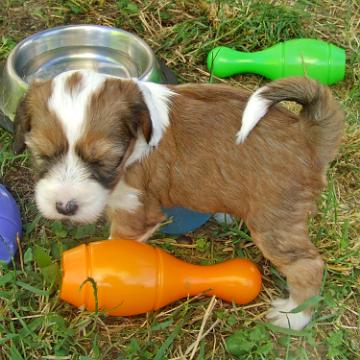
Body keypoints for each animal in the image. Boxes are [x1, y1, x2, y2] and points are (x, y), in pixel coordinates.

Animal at [13, 69, 344, 330]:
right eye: (43, 154)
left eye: (103, 161)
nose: (65, 208)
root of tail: (307, 135)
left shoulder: (135, 209)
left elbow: (116, 244)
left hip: (274, 221)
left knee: (307, 265)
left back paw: (294, 317)